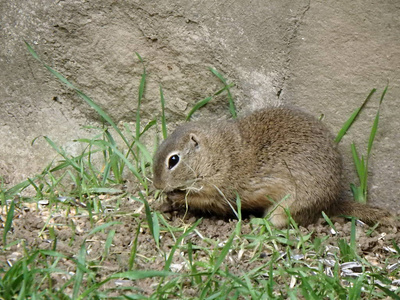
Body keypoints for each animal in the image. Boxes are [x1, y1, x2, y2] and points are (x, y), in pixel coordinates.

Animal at [153, 106, 394, 226]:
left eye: (173, 160)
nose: (157, 185)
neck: (220, 154)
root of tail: (331, 202)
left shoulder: (219, 191)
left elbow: (201, 199)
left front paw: (174, 196)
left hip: (285, 207)